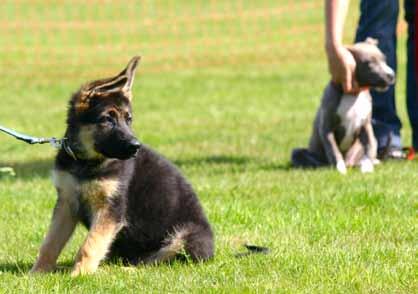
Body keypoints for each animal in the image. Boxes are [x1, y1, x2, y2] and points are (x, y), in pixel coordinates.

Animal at [31, 57, 214, 276]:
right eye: (107, 119)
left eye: (128, 119)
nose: (136, 146)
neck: (87, 163)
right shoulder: (66, 203)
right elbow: (50, 242)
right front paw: (38, 272)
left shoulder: (111, 208)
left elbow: (90, 244)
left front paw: (79, 274)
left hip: (185, 235)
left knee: (154, 262)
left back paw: (123, 270)